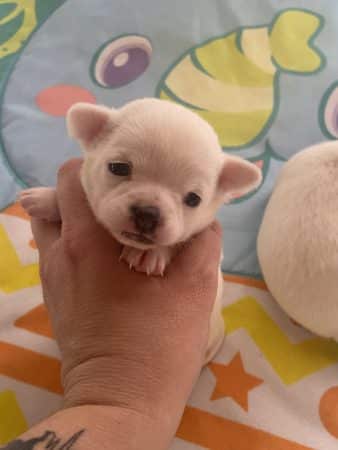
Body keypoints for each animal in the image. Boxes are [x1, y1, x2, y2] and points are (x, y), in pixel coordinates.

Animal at [20, 99, 262, 362]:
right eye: (118, 168)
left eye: (193, 199)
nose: (148, 213)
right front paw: (46, 198)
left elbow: (175, 241)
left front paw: (150, 253)